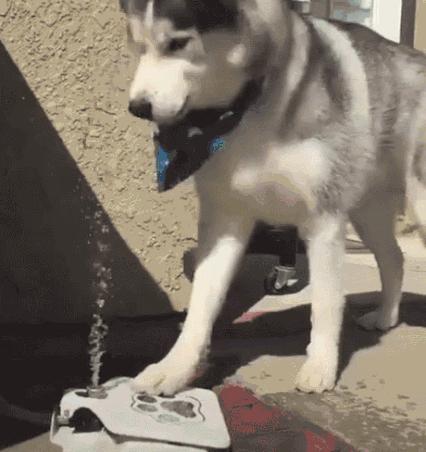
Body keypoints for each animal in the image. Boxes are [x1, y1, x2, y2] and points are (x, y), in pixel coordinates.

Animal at [120, 0, 426, 394]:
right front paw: (174, 367)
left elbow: (325, 302)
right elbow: (201, 306)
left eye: (177, 44)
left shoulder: (323, 221)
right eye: (137, 46)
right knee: (394, 258)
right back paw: (387, 316)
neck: (251, 109)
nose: (137, 107)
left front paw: (321, 366)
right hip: (367, 212)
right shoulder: (224, 218)